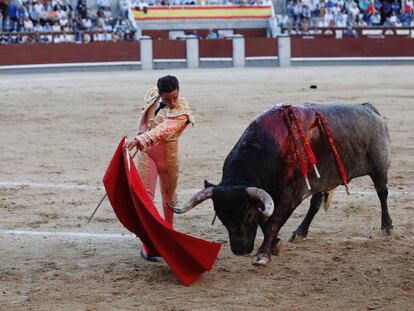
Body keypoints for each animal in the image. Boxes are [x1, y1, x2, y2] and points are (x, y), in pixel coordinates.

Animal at [170, 103, 392, 266]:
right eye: (221, 216)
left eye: (247, 214)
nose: (241, 250)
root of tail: (369, 108)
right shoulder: (268, 196)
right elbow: (265, 220)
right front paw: (275, 245)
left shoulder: (290, 195)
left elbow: (273, 222)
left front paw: (263, 254)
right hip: (321, 179)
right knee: (315, 203)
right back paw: (300, 233)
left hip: (379, 168)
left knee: (382, 193)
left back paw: (387, 227)